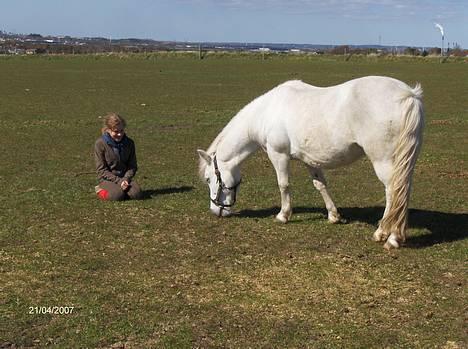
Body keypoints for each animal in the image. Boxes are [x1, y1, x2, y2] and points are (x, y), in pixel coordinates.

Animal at [197, 77, 424, 249]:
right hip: (404, 163)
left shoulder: (278, 155)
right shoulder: (311, 159)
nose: (216, 211)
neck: (267, 112)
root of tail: (408, 94)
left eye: (208, 179)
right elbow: (320, 185)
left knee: (393, 193)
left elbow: (283, 184)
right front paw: (334, 216)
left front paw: (283, 215)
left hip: (384, 162)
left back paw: (387, 235)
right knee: (403, 191)